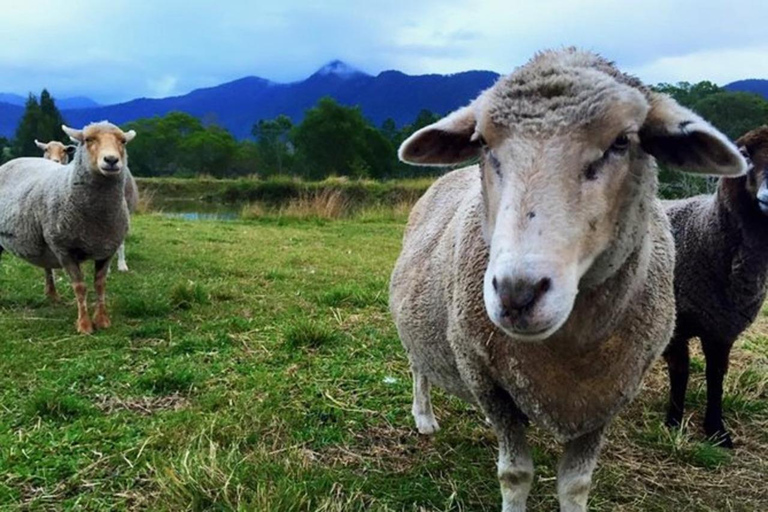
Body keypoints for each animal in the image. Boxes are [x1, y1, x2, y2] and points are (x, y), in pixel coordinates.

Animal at [388, 49, 748, 512]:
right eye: (483, 143)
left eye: (622, 142)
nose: (517, 293)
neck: (571, 349)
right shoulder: (486, 378)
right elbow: (515, 474)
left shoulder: (609, 394)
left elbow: (575, 484)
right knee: (418, 363)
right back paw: (424, 417)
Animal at [660, 125, 768, 448]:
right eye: (745, 154)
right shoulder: (676, 325)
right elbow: (680, 372)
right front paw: (673, 422)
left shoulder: (722, 329)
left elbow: (716, 377)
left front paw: (717, 431)